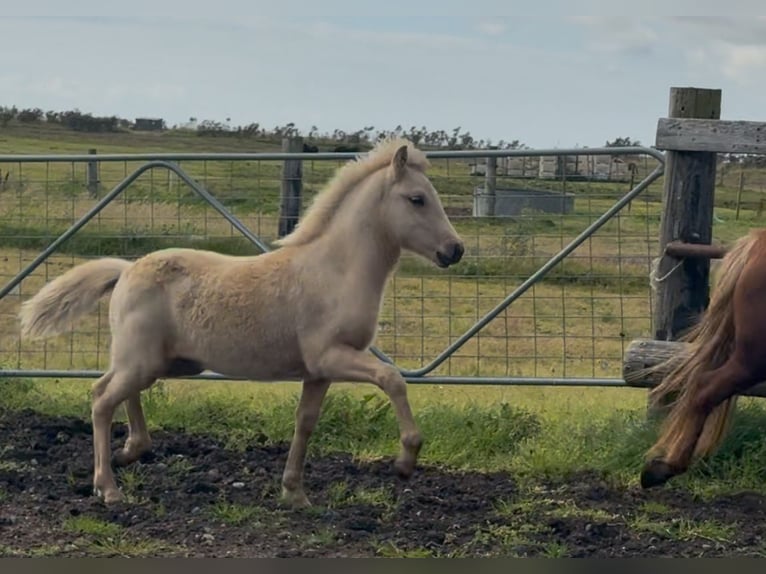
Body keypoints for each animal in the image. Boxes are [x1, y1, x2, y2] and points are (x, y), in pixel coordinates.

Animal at [18, 138, 465, 507]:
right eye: (417, 199)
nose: (454, 250)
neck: (335, 271)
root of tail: (126, 269)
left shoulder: (318, 372)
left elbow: (305, 423)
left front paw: (294, 493)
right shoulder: (333, 356)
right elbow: (392, 379)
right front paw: (406, 460)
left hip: (157, 362)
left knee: (110, 391)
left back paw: (132, 450)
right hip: (143, 361)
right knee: (101, 400)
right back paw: (108, 488)